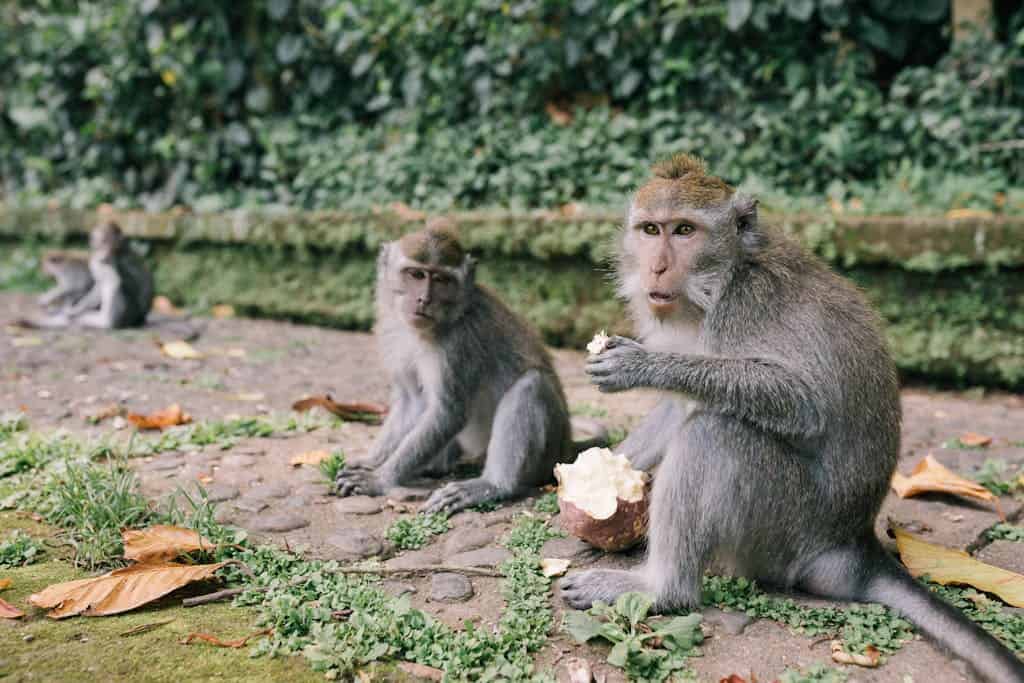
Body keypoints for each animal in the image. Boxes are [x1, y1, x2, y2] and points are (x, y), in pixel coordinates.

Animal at [334, 224, 607, 515]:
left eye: (442, 280)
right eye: (416, 274)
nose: (424, 299)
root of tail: (567, 446)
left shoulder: (458, 344)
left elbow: (447, 413)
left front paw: (379, 479)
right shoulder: (392, 332)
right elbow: (411, 401)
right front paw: (371, 461)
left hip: (547, 453)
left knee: (531, 385)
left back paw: (492, 485)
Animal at [560, 154, 1024, 682]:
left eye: (684, 230)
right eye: (650, 229)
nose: (656, 266)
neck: (721, 280)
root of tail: (852, 545)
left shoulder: (743, 307)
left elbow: (804, 404)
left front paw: (642, 366)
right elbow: (680, 406)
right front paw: (603, 475)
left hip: (783, 529)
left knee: (717, 432)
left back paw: (662, 588)